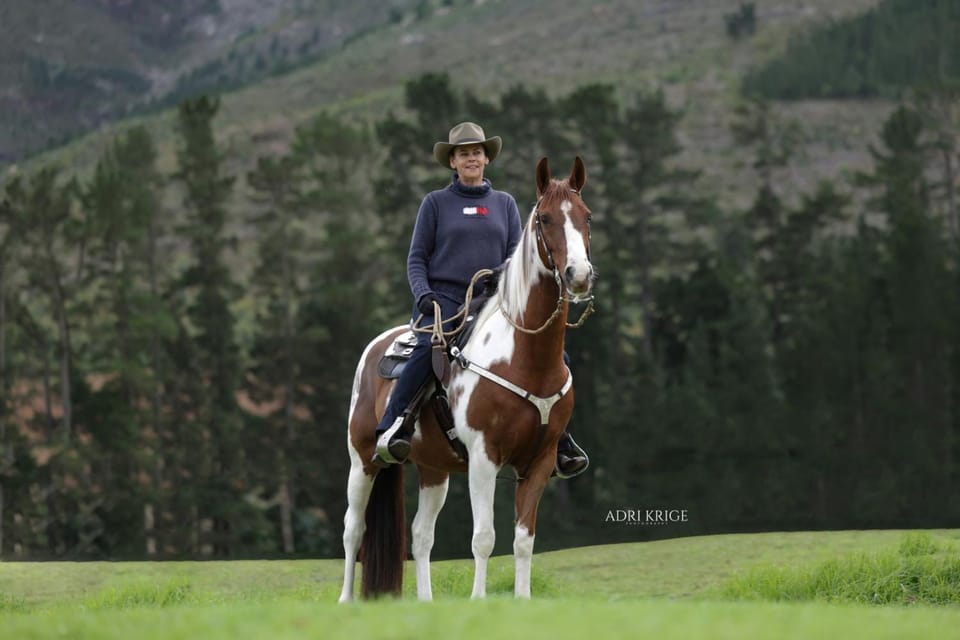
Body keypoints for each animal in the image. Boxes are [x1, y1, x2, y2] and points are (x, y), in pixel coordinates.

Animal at [339, 156, 594, 601]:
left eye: (587, 216)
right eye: (545, 218)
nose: (578, 274)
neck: (524, 358)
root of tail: (378, 345)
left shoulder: (541, 461)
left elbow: (523, 539)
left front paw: (523, 600)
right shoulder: (483, 457)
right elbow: (484, 537)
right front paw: (479, 601)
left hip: (433, 468)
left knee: (421, 534)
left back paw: (425, 601)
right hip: (363, 459)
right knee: (353, 529)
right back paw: (345, 600)